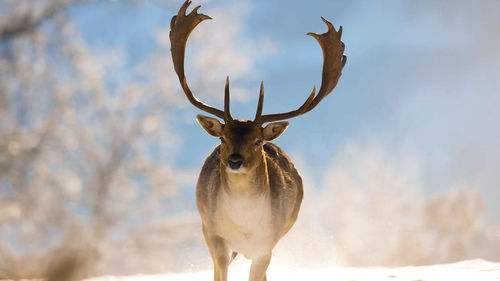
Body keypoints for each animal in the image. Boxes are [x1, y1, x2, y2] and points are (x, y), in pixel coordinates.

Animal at [170, 1, 346, 278]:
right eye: (222, 139)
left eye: (257, 141)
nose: (234, 161)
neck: (245, 228)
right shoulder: (213, 234)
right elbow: (219, 273)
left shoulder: (266, 245)